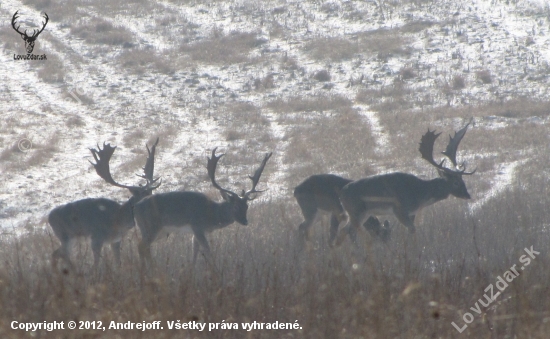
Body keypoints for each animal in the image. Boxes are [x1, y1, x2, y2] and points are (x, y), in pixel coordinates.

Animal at [48, 138, 161, 268]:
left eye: (151, 192)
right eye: (143, 195)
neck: (118, 219)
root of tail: (49, 217)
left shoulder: (116, 240)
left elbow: (118, 261)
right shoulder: (97, 237)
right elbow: (96, 262)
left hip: (70, 237)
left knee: (56, 253)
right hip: (65, 235)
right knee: (62, 254)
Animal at [134, 149, 272, 268]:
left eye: (247, 206)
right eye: (235, 206)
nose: (245, 221)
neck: (211, 215)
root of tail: (136, 207)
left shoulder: (197, 231)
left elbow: (195, 251)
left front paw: (192, 271)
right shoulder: (197, 226)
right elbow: (207, 250)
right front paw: (214, 271)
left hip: (160, 230)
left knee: (144, 247)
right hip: (151, 226)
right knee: (142, 246)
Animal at [338, 119, 476, 244]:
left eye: (462, 180)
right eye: (455, 182)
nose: (467, 195)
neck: (420, 195)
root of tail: (342, 195)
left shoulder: (412, 213)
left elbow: (410, 231)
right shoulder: (399, 210)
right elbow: (412, 229)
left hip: (361, 213)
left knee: (345, 230)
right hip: (356, 211)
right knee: (350, 231)